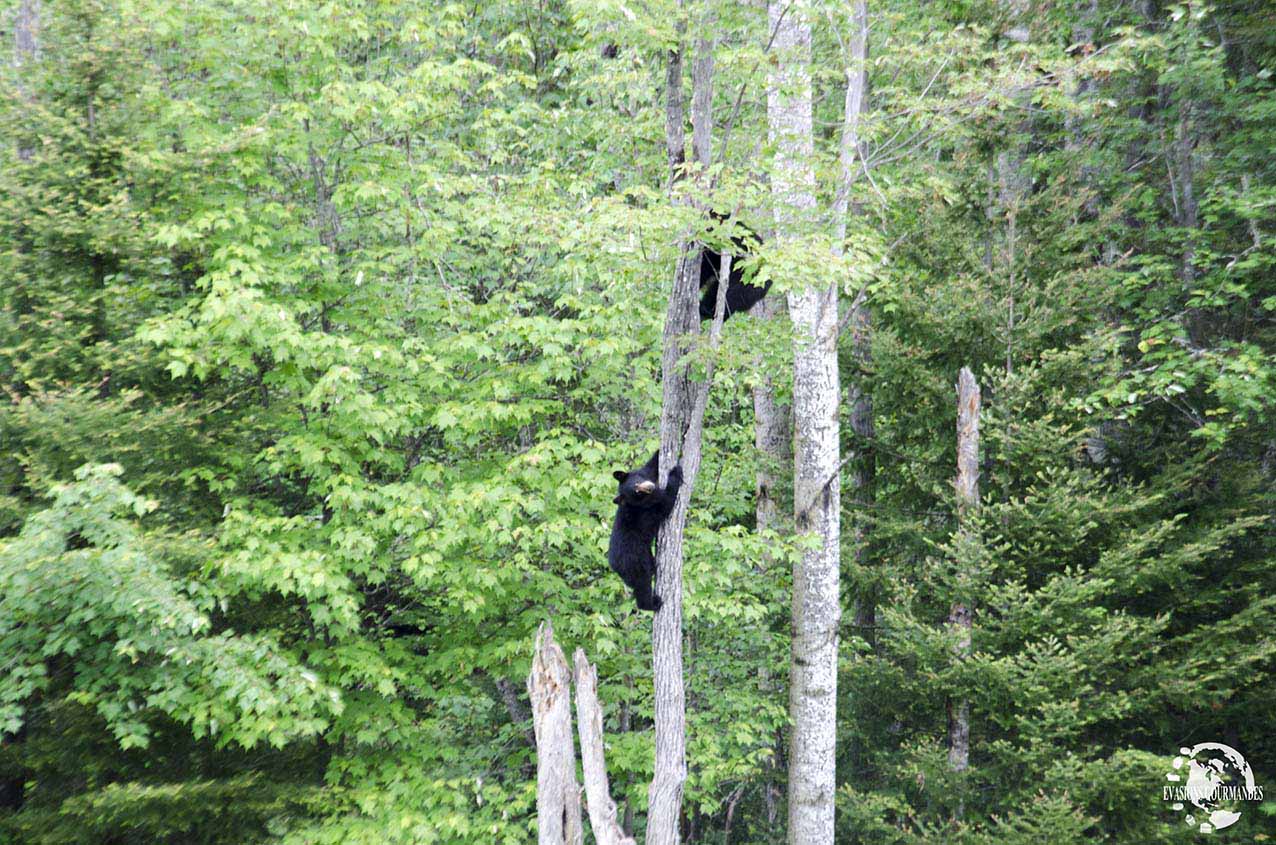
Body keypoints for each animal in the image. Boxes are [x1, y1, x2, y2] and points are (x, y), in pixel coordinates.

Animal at [609, 454, 683, 612]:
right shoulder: (649, 509)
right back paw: (652, 603)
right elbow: (666, 502)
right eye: (636, 491)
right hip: (635, 562)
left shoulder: (647, 472)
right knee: (643, 584)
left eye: (637, 480)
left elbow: (652, 464)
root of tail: (614, 567)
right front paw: (675, 473)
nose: (650, 487)